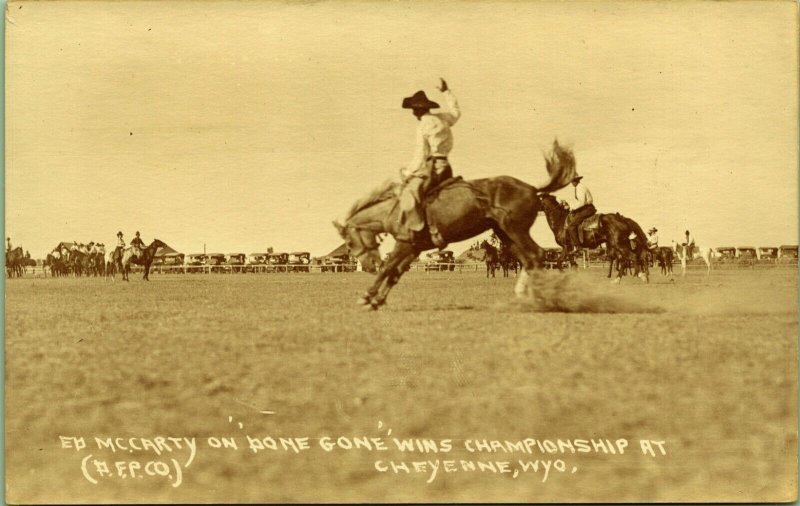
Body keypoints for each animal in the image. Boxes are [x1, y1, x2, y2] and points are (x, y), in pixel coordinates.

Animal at [334, 140, 580, 310]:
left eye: (349, 243)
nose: (367, 266)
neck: (396, 209)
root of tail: (531, 188)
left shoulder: (405, 244)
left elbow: (388, 268)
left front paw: (367, 297)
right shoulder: (413, 247)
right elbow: (396, 272)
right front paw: (377, 301)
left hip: (515, 230)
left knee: (537, 255)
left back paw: (540, 299)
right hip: (505, 233)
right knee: (529, 260)